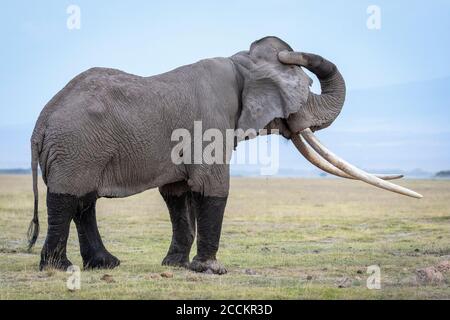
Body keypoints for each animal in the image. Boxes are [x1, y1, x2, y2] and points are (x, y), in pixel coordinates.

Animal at [28, 36, 422, 274]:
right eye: (305, 87)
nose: (287, 50)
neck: (241, 64)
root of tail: (42, 120)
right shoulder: (210, 123)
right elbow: (211, 186)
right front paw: (211, 270)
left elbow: (177, 194)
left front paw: (176, 266)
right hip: (76, 146)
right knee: (68, 198)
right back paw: (59, 269)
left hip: (78, 148)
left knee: (84, 202)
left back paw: (105, 265)